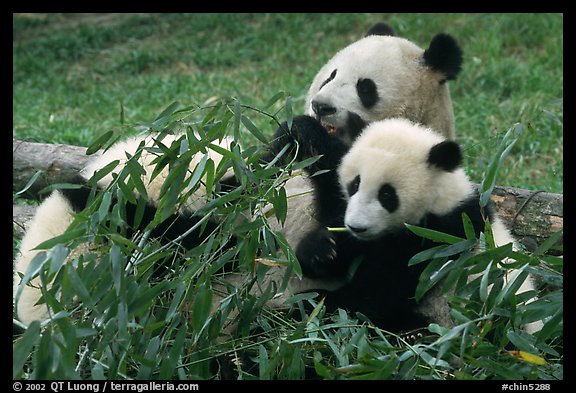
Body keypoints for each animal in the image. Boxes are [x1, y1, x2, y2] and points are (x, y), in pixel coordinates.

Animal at [268, 114, 544, 334]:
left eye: (387, 195)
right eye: (354, 184)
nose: (357, 226)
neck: (438, 198)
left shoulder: (441, 238)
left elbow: (381, 291)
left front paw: (318, 305)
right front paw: (322, 249)